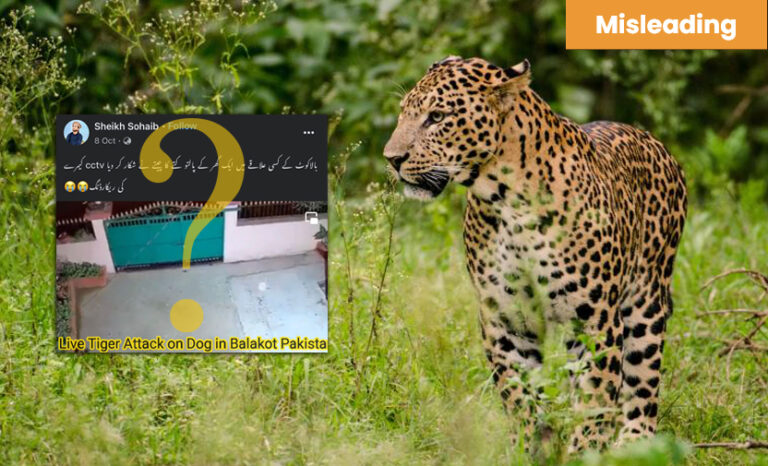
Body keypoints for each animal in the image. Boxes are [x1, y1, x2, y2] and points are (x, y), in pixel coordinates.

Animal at [383, 56, 687, 451]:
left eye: (436, 117)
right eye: (403, 113)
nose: (392, 159)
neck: (506, 202)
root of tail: (654, 141)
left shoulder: (596, 323)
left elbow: (594, 402)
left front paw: (582, 453)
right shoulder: (507, 321)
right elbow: (520, 397)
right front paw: (528, 449)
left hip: (645, 303)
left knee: (642, 386)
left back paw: (634, 444)